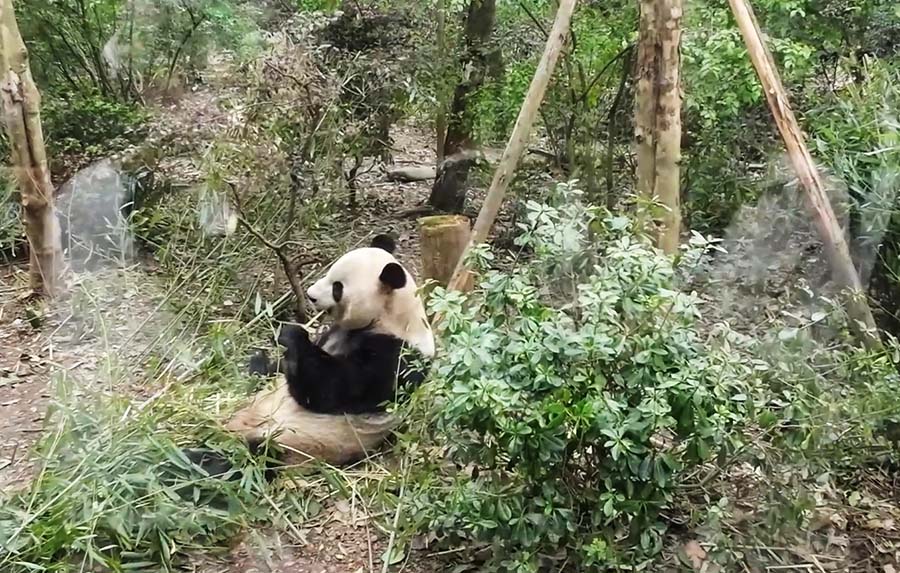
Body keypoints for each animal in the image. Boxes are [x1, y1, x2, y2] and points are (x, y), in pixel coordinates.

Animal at [202, 234, 435, 472]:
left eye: (337, 287)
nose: (310, 295)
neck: (392, 317)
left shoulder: (396, 357)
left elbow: (328, 390)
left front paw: (290, 333)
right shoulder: (335, 333)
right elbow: (286, 369)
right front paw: (260, 362)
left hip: (287, 444)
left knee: (234, 460)